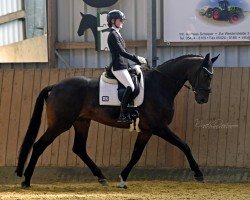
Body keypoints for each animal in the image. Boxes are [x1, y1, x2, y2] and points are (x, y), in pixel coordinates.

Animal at [15, 53, 219, 188]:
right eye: (206, 75)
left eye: (212, 76)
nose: (203, 99)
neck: (160, 85)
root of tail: (56, 86)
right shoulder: (159, 127)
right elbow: (184, 145)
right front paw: (198, 174)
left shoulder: (147, 130)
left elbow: (136, 154)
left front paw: (122, 179)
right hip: (60, 124)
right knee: (39, 146)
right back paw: (26, 180)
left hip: (82, 122)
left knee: (79, 148)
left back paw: (101, 177)